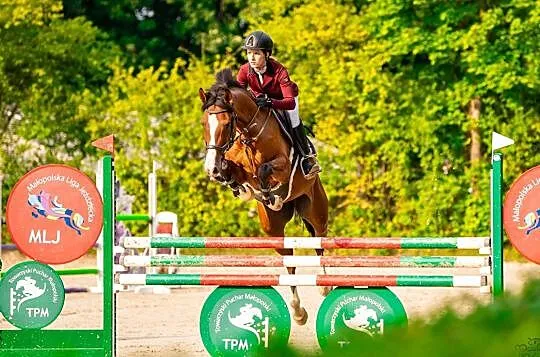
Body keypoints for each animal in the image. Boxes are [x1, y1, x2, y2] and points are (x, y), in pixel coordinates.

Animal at [199, 68, 330, 324]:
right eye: (204, 123)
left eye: (226, 123)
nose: (211, 169)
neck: (249, 132)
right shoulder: (237, 166)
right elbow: (235, 172)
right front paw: (235, 184)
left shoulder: (283, 165)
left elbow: (264, 169)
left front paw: (268, 191)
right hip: (273, 230)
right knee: (289, 260)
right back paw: (298, 312)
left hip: (316, 211)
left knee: (319, 242)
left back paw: (324, 286)